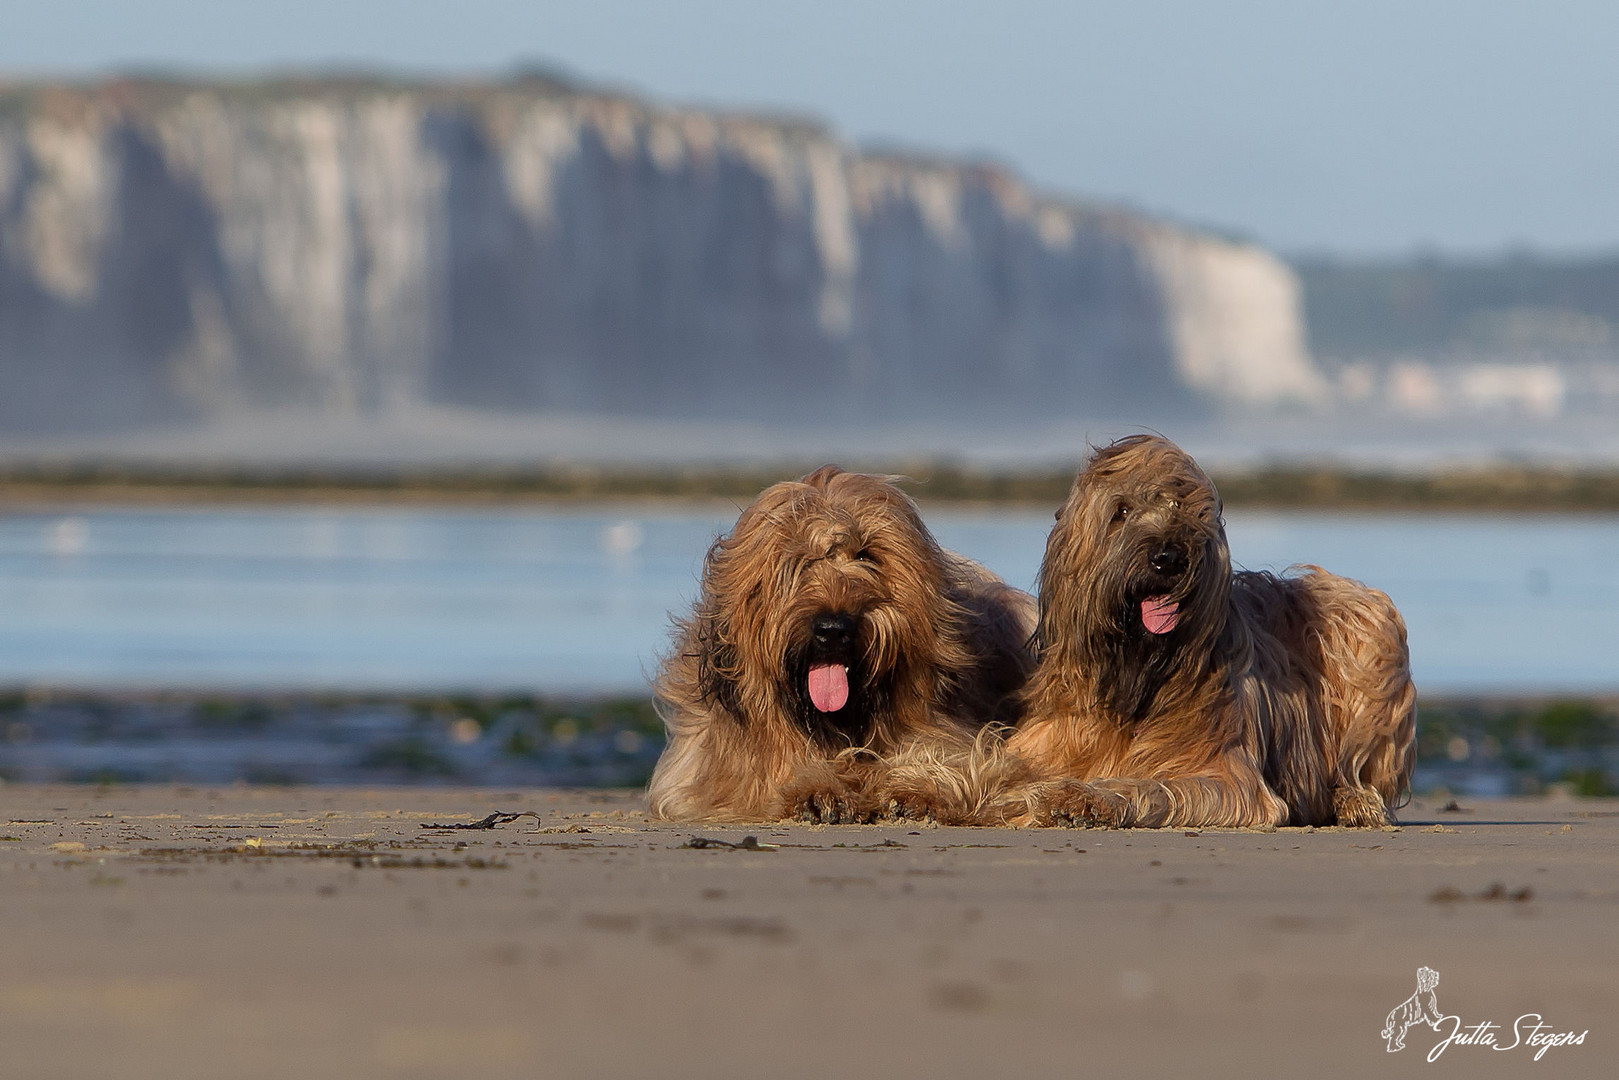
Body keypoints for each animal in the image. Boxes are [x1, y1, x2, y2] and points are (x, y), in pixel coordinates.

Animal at [647, 459, 1036, 822]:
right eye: (797, 562)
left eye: (866, 556)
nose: (833, 629)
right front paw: (818, 790)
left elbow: (970, 764)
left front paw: (918, 791)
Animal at [1003, 433, 1411, 835]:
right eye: (1121, 511)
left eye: (1183, 507)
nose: (1168, 558)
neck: (1138, 675)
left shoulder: (1229, 777)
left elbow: (1152, 786)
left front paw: (1081, 797)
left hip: (1366, 629)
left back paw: (1356, 800)